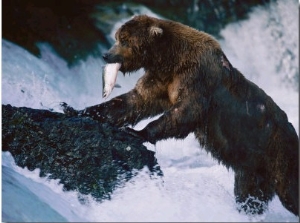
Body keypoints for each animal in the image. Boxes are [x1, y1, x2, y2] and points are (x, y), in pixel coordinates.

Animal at [62, 14, 298, 216]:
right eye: (117, 37)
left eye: (125, 40)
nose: (106, 54)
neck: (168, 59)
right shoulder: (161, 79)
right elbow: (134, 101)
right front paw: (75, 109)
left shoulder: (196, 77)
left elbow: (185, 112)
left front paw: (137, 132)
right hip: (252, 167)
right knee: (249, 195)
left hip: (279, 153)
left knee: (289, 192)